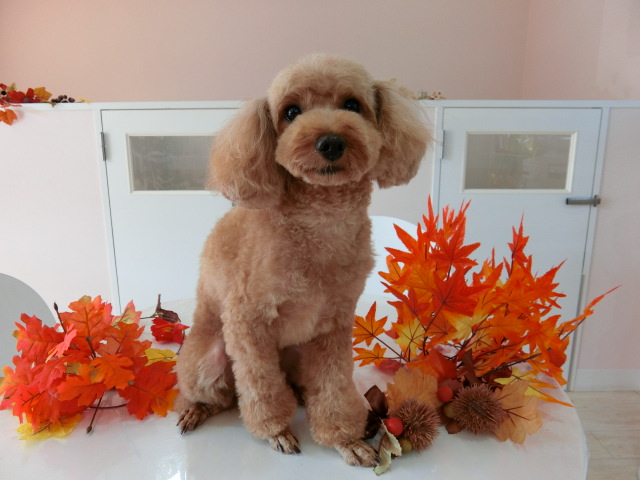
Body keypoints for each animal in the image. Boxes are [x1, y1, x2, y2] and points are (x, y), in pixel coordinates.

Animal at [176, 54, 429, 466]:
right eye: (291, 112)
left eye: (352, 105)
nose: (330, 141)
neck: (320, 224)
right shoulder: (247, 322)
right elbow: (260, 388)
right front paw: (276, 431)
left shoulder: (335, 325)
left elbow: (333, 387)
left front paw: (346, 439)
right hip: (206, 359)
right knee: (218, 394)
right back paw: (194, 410)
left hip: (297, 353)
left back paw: (298, 395)